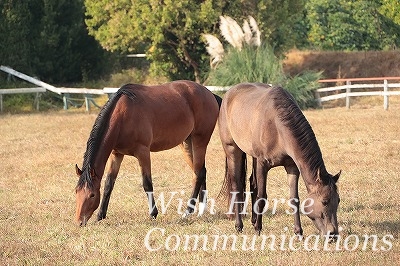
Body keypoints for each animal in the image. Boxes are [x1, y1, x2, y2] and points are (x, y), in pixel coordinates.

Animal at [73, 80, 220, 225]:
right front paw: (100, 215)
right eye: (76, 192)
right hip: (187, 144)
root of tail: (209, 93)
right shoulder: (116, 155)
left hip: (199, 141)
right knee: (201, 172)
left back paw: (187, 212)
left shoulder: (143, 152)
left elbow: (147, 183)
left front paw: (153, 213)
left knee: (198, 174)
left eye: (92, 195)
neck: (123, 115)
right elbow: (109, 184)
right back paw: (201, 210)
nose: (80, 221)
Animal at [219, 83, 340, 237]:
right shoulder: (262, 164)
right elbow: (261, 197)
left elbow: (294, 199)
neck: (276, 126)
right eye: (325, 201)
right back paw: (239, 225)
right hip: (232, 150)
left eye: (338, 200)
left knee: (252, 182)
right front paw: (258, 229)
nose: (333, 234)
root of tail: (228, 94)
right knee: (236, 186)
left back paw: (253, 220)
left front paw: (298, 232)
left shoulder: (292, 167)